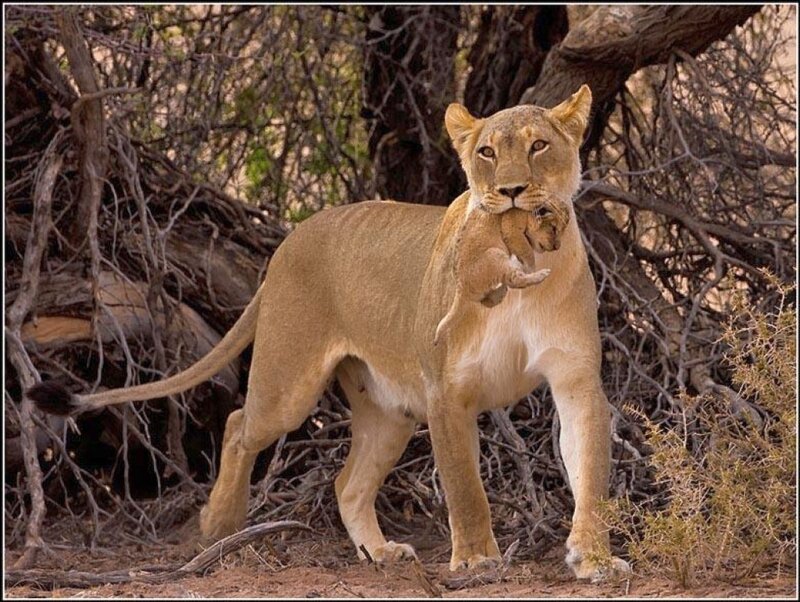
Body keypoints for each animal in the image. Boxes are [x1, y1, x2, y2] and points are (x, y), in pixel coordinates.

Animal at [28, 84, 629, 581]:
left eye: (539, 146)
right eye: (486, 152)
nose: (511, 191)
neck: (520, 265)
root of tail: (290, 239)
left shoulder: (576, 382)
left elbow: (590, 476)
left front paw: (594, 559)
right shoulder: (446, 391)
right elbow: (465, 487)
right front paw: (478, 559)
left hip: (390, 411)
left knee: (347, 483)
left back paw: (379, 553)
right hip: (289, 384)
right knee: (239, 424)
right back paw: (220, 523)